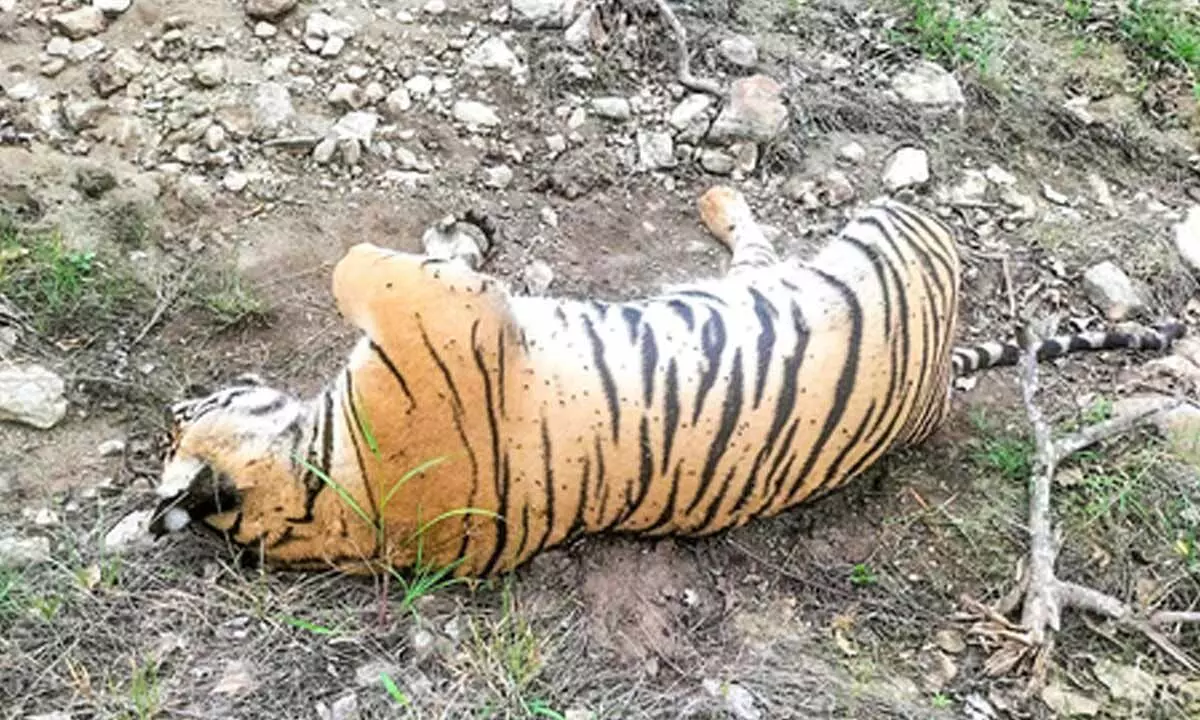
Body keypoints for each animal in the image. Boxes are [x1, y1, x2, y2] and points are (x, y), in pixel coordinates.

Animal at [148, 185, 1184, 577]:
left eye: (185, 408)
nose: (194, 389)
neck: (319, 503)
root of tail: (933, 392)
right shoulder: (439, 317)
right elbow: (359, 264)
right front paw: (456, 243)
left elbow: (380, 264)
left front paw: (463, 235)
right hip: (890, 234)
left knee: (757, 241)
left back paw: (714, 199)